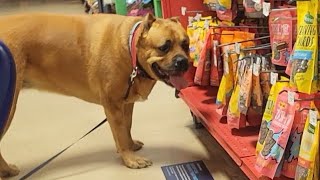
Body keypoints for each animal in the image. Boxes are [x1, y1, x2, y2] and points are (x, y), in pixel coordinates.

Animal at [0, 12, 190, 177]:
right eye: (164, 47)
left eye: (186, 44)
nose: (183, 61)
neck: (131, 50)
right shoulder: (113, 105)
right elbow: (121, 134)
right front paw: (130, 159)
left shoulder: (126, 104)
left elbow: (126, 128)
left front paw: (130, 146)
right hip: (8, 108)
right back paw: (7, 170)